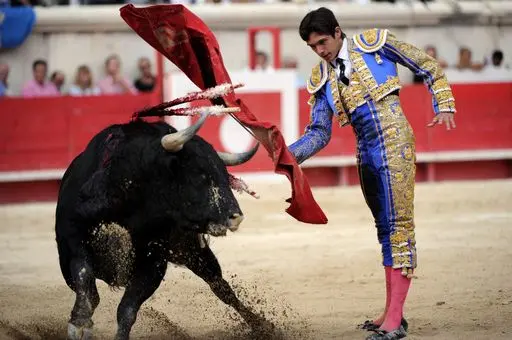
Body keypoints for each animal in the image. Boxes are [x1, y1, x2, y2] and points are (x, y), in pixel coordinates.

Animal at [55, 113, 276, 338]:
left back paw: (262, 326)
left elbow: (127, 309)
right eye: (199, 175)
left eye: (225, 175)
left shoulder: (154, 263)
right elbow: (85, 281)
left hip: (194, 252)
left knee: (221, 287)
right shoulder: (71, 241)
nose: (236, 217)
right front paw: (80, 324)